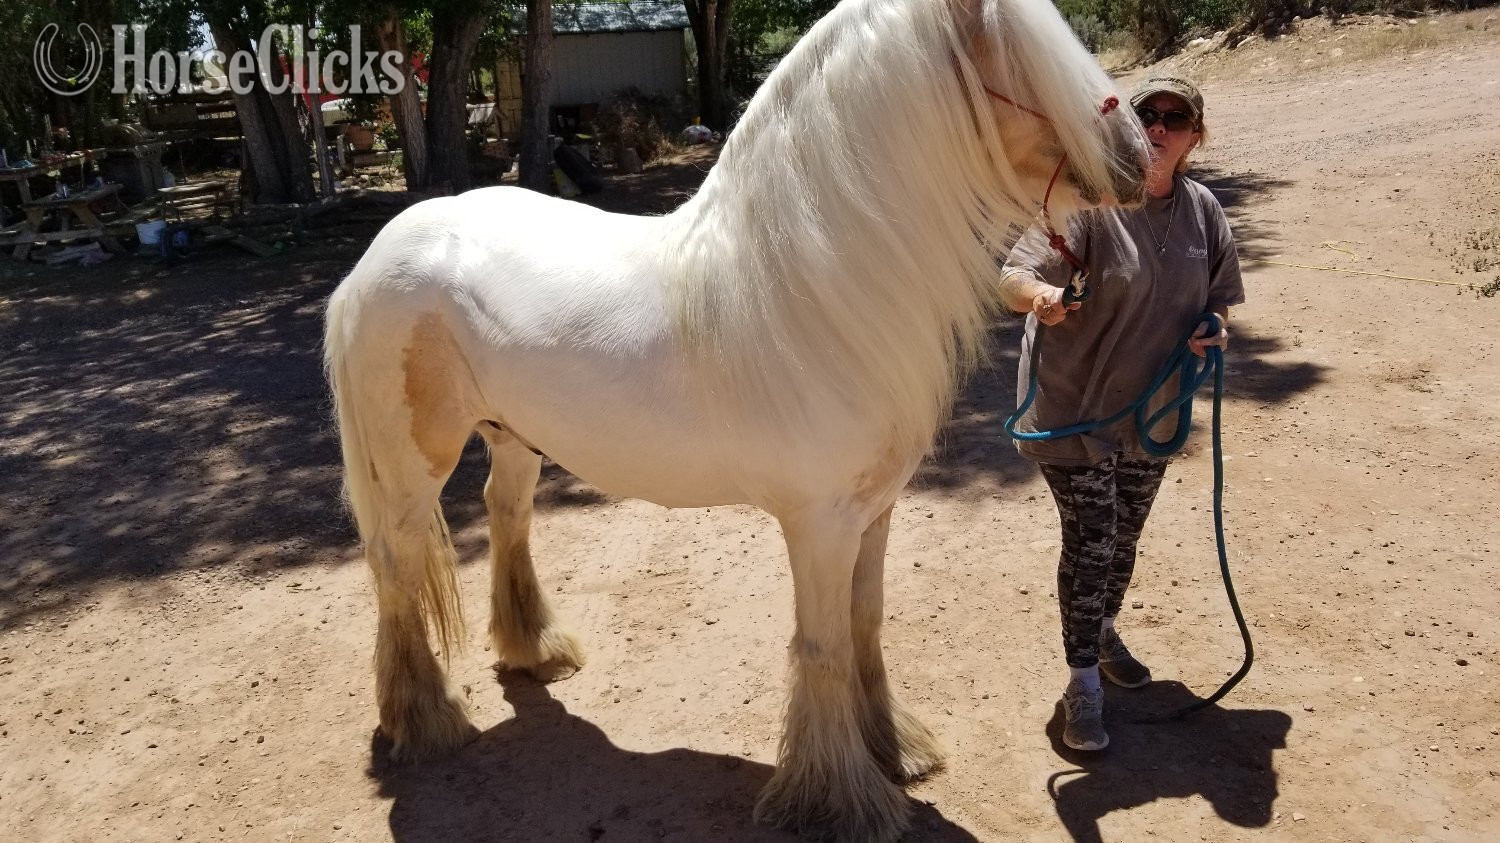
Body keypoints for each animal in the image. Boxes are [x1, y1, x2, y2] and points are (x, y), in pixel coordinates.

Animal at [323, 0, 1146, 839]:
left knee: (506, 516)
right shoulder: (820, 525)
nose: (1140, 158)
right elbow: (822, 646)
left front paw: (894, 747)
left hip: (514, 438)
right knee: (395, 562)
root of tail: (376, 257)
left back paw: (536, 649)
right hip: (415, 460)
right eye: (1017, 58)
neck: (813, 286)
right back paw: (424, 719)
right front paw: (839, 799)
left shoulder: (875, 511)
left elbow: (866, 623)